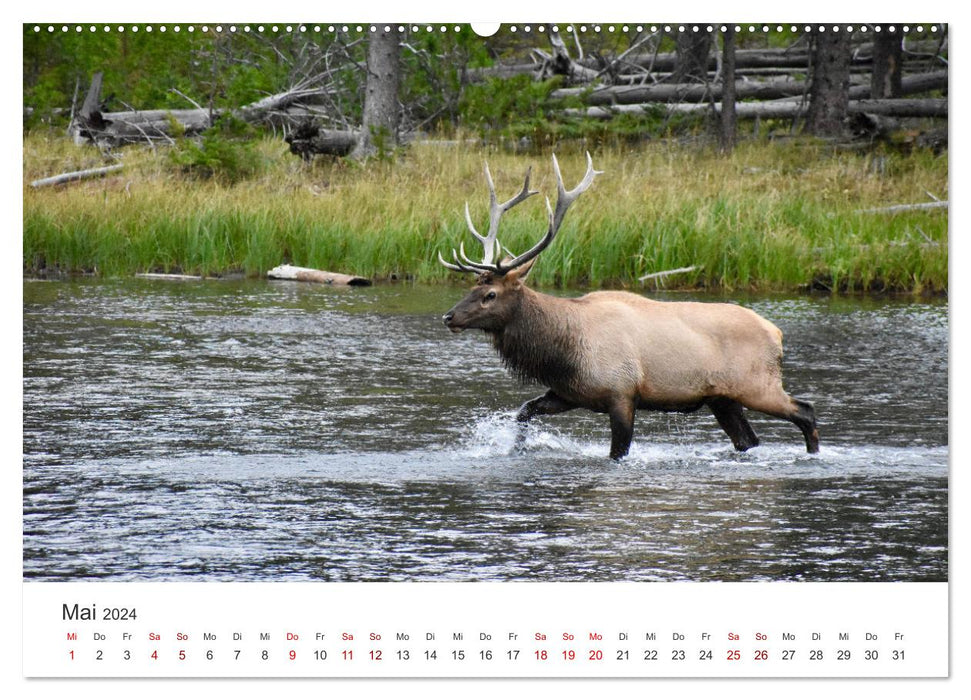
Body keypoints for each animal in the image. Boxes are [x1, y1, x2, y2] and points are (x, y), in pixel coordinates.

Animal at [440, 153, 820, 460]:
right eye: (473, 287)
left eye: (490, 294)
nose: (449, 316)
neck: (562, 351)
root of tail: (777, 333)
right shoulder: (570, 393)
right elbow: (524, 412)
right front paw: (514, 448)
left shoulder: (622, 393)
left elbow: (618, 451)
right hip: (722, 398)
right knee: (748, 440)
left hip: (757, 385)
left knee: (805, 411)